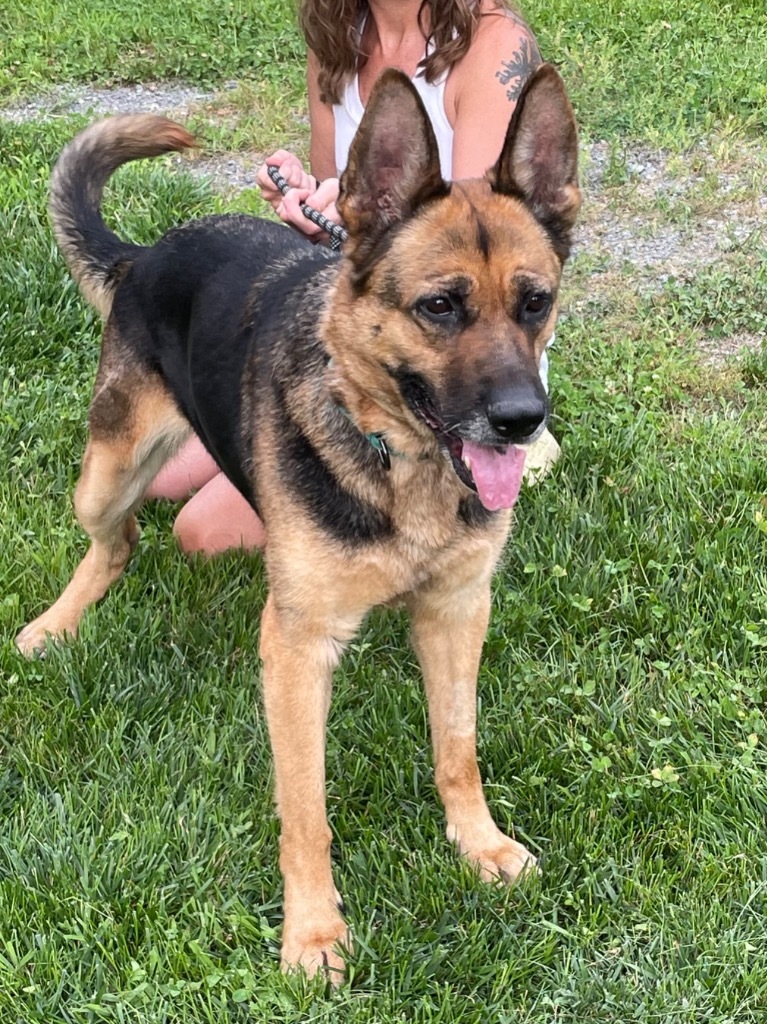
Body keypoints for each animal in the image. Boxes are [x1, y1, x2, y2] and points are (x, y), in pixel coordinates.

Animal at [16, 68, 581, 978]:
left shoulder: (458, 612)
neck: (398, 460)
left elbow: (457, 749)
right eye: (439, 307)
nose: (522, 423)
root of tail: (147, 254)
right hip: (106, 476)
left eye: (535, 303)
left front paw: (479, 844)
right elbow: (305, 808)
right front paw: (312, 931)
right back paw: (57, 624)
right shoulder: (296, 648)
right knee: (117, 539)